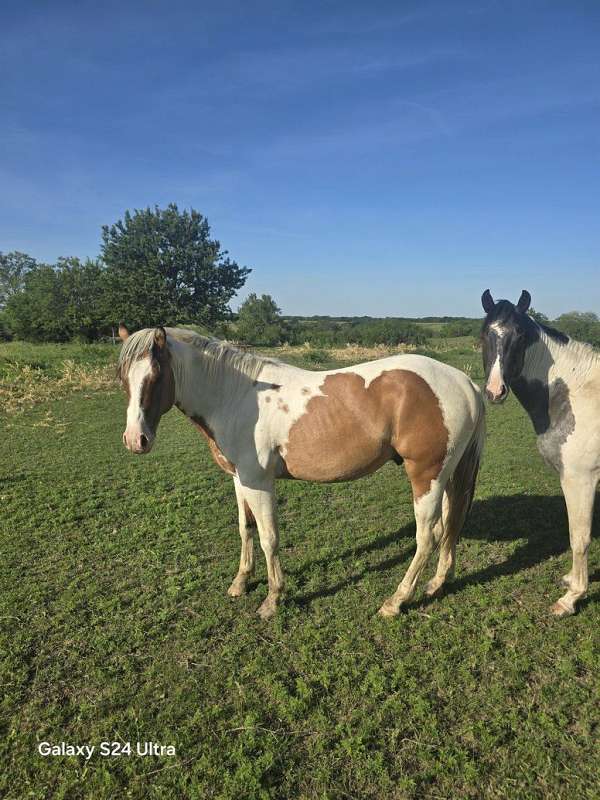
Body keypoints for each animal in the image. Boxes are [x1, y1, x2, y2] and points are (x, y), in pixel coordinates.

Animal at [117, 325, 485, 619]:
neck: (236, 396)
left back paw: (395, 602)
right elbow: (245, 528)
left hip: (426, 476)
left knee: (428, 536)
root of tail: (465, 382)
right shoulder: (240, 479)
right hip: (446, 476)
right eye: (123, 378)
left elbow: (268, 538)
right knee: (449, 526)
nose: (136, 440)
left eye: (156, 375)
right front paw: (240, 583)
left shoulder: (259, 482)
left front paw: (272, 599)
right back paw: (436, 584)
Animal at [481, 289, 599, 617]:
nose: (495, 391)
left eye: (520, 336)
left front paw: (571, 598)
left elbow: (579, 537)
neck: (575, 393)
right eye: (484, 334)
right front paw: (571, 580)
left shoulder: (580, 479)